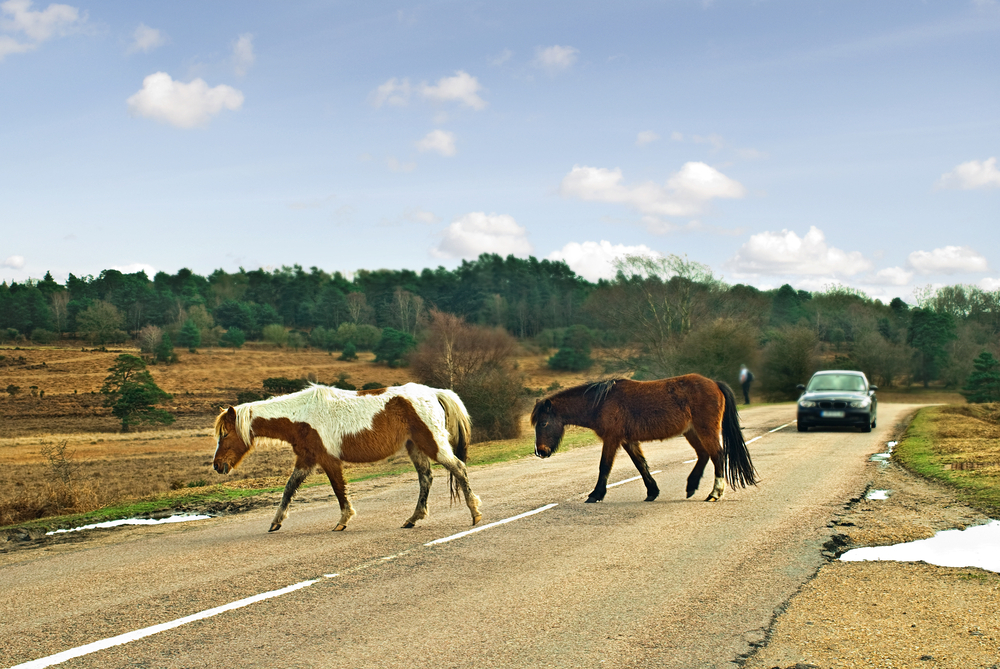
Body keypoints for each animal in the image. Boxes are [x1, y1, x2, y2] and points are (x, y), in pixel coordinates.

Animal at [532, 376, 756, 500]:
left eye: (543, 423)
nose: (540, 451)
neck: (601, 402)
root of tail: (714, 384)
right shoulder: (628, 441)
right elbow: (641, 465)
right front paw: (652, 492)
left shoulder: (612, 439)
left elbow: (604, 466)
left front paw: (596, 494)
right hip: (691, 432)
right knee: (703, 455)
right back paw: (692, 486)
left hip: (705, 430)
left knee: (717, 455)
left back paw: (715, 493)